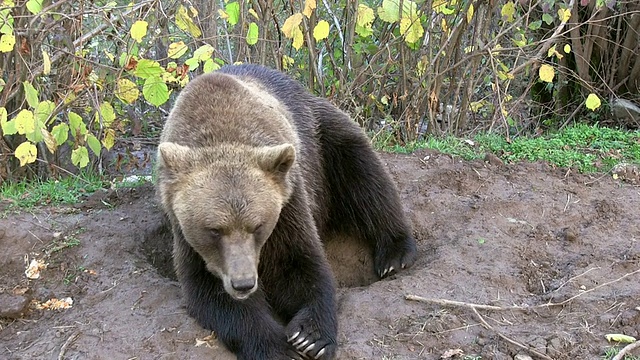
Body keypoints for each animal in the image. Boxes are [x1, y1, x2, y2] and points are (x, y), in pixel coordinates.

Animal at [154, 64, 416, 360]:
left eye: (257, 226)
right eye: (214, 230)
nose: (244, 283)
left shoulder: (288, 201)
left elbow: (296, 265)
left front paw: (310, 337)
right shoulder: (186, 236)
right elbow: (210, 293)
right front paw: (279, 347)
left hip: (323, 139)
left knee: (364, 176)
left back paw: (395, 254)